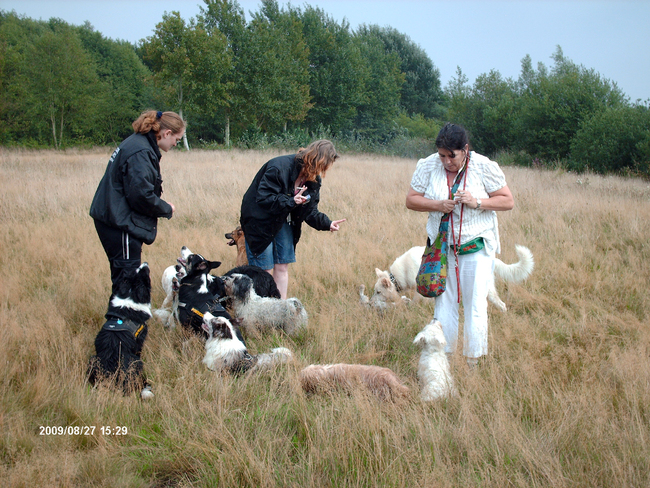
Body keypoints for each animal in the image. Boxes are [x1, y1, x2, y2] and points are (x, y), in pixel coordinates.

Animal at [87, 263, 154, 400]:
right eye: (144, 274)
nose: (145, 263)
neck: (129, 295)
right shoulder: (139, 342)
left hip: (93, 360)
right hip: (137, 363)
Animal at [367, 244, 534, 312]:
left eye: (378, 292)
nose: (370, 303)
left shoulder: (422, 292)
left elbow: (414, 302)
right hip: (489, 290)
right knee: (501, 304)